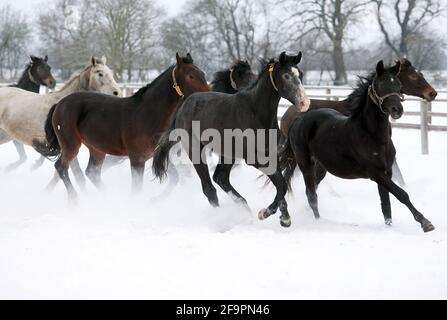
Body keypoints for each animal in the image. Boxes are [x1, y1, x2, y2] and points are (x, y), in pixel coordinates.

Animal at [34, 52, 210, 202]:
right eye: (191, 76)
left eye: (203, 74)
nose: (209, 94)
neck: (146, 113)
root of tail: (59, 104)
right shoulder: (137, 159)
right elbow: (137, 189)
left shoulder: (153, 155)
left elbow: (174, 178)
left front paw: (155, 200)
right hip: (71, 145)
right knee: (61, 167)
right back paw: (74, 200)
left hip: (97, 149)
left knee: (91, 172)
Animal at [152, 52, 310, 228]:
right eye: (286, 75)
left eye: (300, 74)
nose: (304, 103)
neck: (256, 113)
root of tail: (184, 106)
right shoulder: (255, 159)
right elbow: (281, 183)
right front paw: (267, 213)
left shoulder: (271, 155)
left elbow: (280, 183)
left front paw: (284, 217)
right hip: (195, 151)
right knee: (209, 188)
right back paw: (222, 218)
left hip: (228, 155)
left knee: (220, 178)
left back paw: (244, 211)